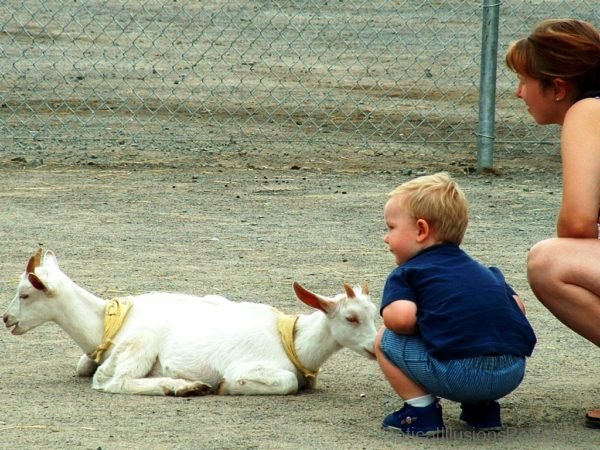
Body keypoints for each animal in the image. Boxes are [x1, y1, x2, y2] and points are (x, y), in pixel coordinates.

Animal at [4, 251, 378, 396]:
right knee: (115, 382)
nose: (6, 319)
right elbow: (283, 382)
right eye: (351, 317)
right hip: (141, 343)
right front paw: (226, 385)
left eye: (24, 294)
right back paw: (184, 386)